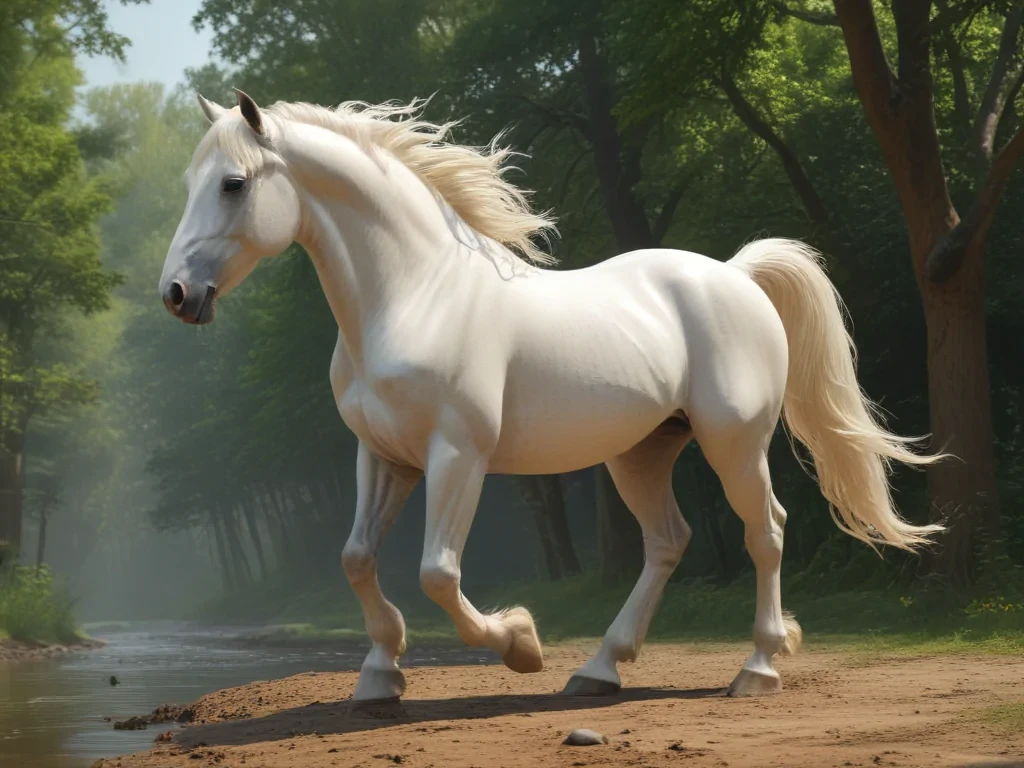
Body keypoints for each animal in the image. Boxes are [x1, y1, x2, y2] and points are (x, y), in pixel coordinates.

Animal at [159, 89, 943, 701]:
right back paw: (601, 669)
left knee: (766, 532)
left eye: (233, 183)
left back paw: (756, 667)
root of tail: (737, 274)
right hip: (641, 454)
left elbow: (438, 573)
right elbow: (357, 559)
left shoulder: (458, 456)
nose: (176, 294)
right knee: (669, 540)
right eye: (191, 181)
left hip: (735, 443)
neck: (416, 294)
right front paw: (381, 674)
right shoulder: (384, 456)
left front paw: (520, 643)